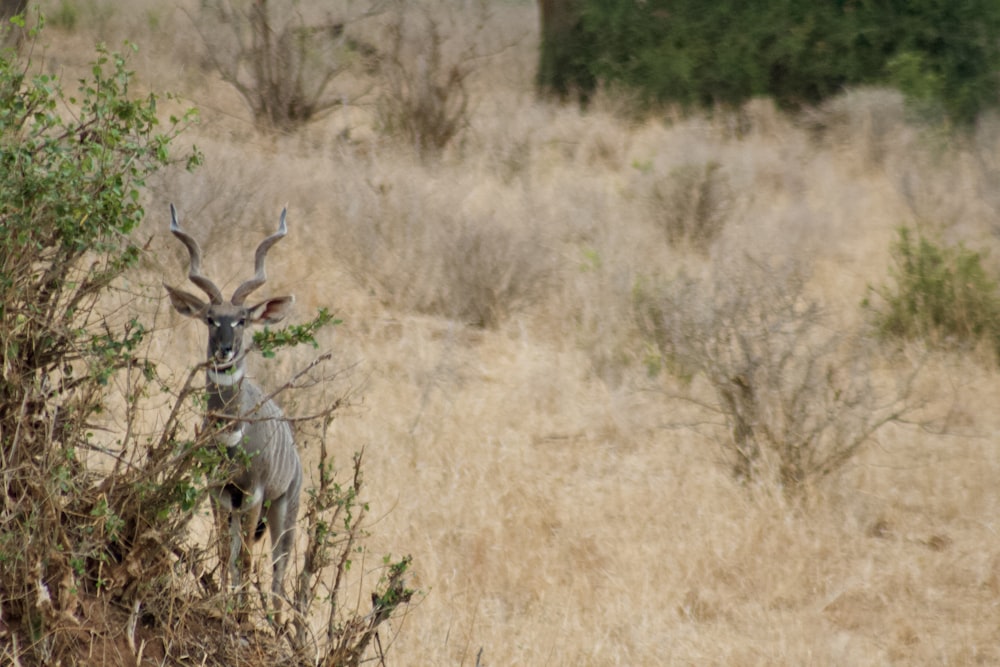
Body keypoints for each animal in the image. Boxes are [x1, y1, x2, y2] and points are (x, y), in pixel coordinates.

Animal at [164, 204, 302, 612]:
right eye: (211, 319)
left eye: (241, 320)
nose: (225, 350)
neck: (232, 436)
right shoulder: (220, 491)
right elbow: (227, 554)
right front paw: (221, 602)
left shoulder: (253, 493)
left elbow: (248, 561)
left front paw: (237, 612)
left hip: (284, 508)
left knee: (278, 575)